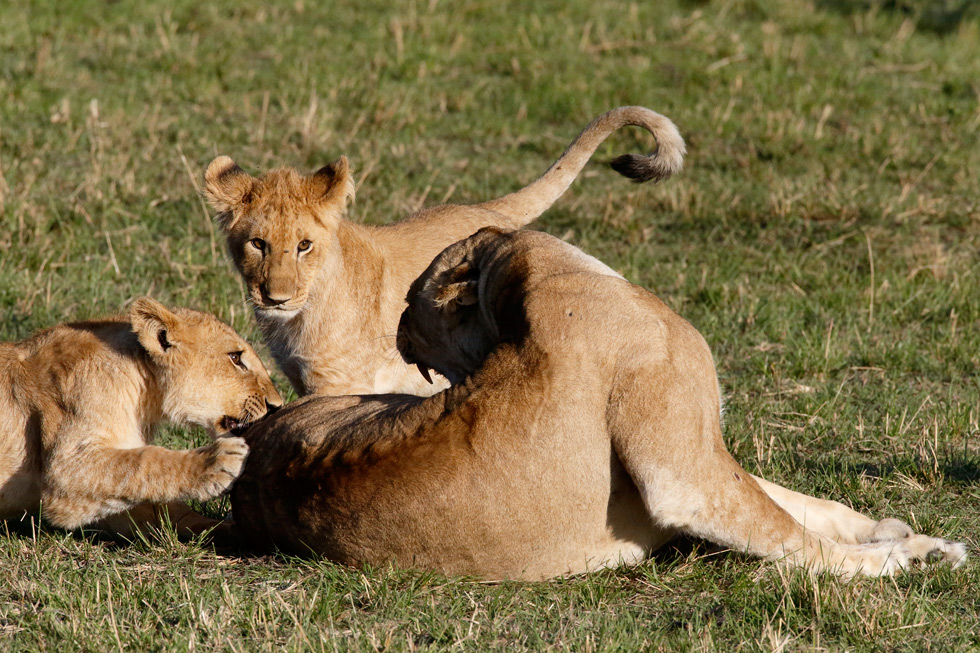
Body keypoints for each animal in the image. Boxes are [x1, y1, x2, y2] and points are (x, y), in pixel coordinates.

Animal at [0, 298, 284, 536]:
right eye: (235, 357)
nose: (277, 406)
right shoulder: (63, 471)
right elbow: (144, 461)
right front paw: (216, 461)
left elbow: (165, 508)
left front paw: (230, 530)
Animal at [203, 105, 684, 398]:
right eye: (258, 244)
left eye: (304, 246)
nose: (276, 298)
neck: (297, 317)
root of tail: (484, 208)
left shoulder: (338, 384)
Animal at [228, 227, 964, 580]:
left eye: (412, 304)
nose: (401, 333)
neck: (539, 284)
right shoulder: (683, 474)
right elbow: (791, 532)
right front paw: (887, 562)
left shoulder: (700, 453)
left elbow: (805, 506)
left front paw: (916, 541)